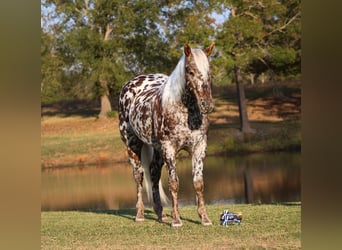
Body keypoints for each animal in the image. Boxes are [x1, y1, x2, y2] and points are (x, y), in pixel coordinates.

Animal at [117, 43, 214, 227]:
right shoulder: (169, 148)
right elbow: (174, 183)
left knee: (154, 173)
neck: (185, 112)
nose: (207, 104)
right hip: (132, 145)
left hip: (157, 149)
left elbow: (198, 183)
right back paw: (140, 214)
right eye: (190, 71)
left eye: (209, 71)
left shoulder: (199, 147)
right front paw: (177, 221)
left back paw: (161, 214)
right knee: (139, 176)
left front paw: (204, 218)